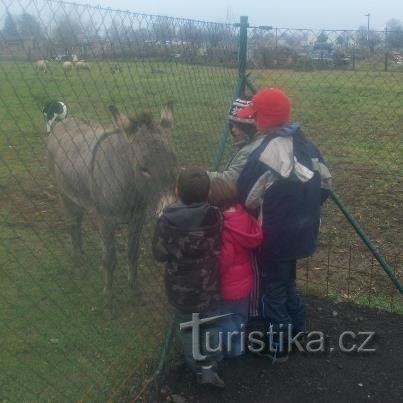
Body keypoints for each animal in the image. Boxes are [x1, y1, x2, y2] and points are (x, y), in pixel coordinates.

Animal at [45, 102, 177, 318]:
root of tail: (64, 122)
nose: (169, 210)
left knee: (78, 222)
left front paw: (135, 292)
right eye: (143, 168)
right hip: (64, 193)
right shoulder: (106, 221)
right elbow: (110, 260)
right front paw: (108, 302)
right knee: (72, 224)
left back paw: (81, 254)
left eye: (175, 163)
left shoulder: (137, 219)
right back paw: (77, 263)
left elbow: (133, 254)